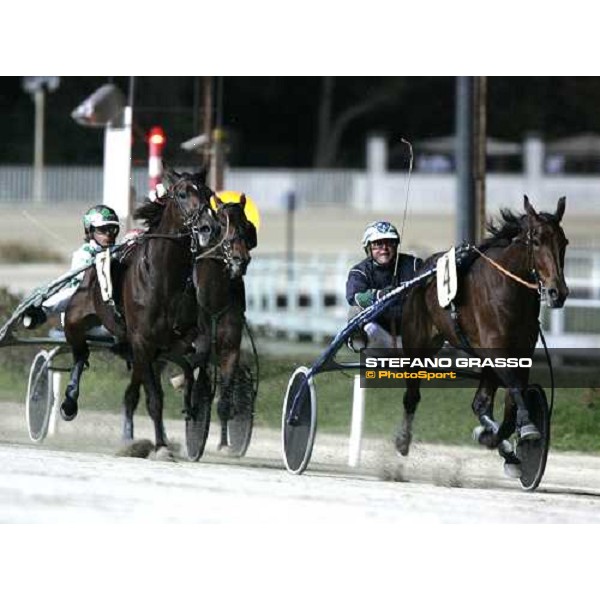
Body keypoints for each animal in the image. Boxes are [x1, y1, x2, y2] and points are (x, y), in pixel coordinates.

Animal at [398, 199, 568, 476]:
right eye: (536, 241)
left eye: (564, 242)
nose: (558, 292)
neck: (509, 287)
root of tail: (422, 270)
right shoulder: (496, 348)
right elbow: (515, 392)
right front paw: (526, 428)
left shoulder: (521, 351)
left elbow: (512, 403)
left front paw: (497, 437)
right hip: (417, 342)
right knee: (412, 395)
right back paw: (402, 440)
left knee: (480, 403)